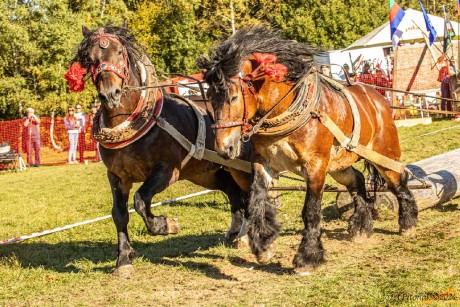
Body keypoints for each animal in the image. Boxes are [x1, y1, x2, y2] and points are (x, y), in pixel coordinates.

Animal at [67, 24, 252, 276]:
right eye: (89, 58)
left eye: (119, 53)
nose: (110, 94)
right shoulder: (116, 176)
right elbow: (119, 214)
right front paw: (123, 259)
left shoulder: (166, 171)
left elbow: (140, 200)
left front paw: (166, 225)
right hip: (206, 173)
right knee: (232, 190)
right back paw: (235, 233)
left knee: (250, 191)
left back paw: (246, 235)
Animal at [197, 26, 416, 276]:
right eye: (210, 98)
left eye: (233, 97)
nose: (224, 148)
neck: (283, 111)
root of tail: (379, 98)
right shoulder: (263, 162)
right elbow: (255, 198)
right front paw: (263, 245)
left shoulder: (316, 166)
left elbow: (311, 210)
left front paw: (307, 257)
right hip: (338, 164)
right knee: (358, 181)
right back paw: (361, 225)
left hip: (383, 153)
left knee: (398, 181)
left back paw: (408, 223)